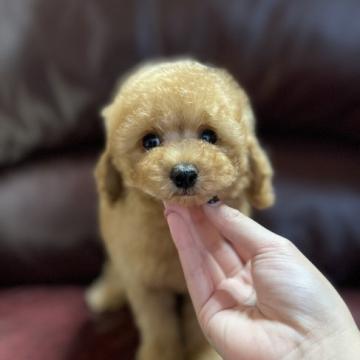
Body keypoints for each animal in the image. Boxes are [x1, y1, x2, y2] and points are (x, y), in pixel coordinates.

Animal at [86, 59, 274, 360]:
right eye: (150, 141)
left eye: (209, 136)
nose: (184, 173)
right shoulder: (146, 284)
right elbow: (157, 324)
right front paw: (160, 354)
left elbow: (198, 325)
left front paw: (203, 354)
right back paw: (108, 293)